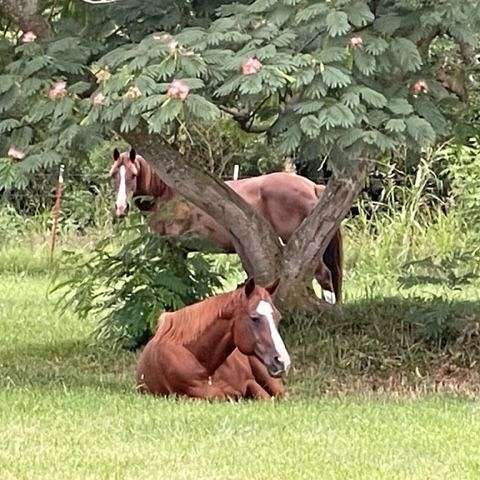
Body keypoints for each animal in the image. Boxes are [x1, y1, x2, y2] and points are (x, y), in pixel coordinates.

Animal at [109, 148, 342, 302]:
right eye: (113, 175)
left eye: (133, 175)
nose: (121, 208)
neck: (168, 196)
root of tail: (312, 186)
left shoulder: (175, 248)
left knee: (324, 277)